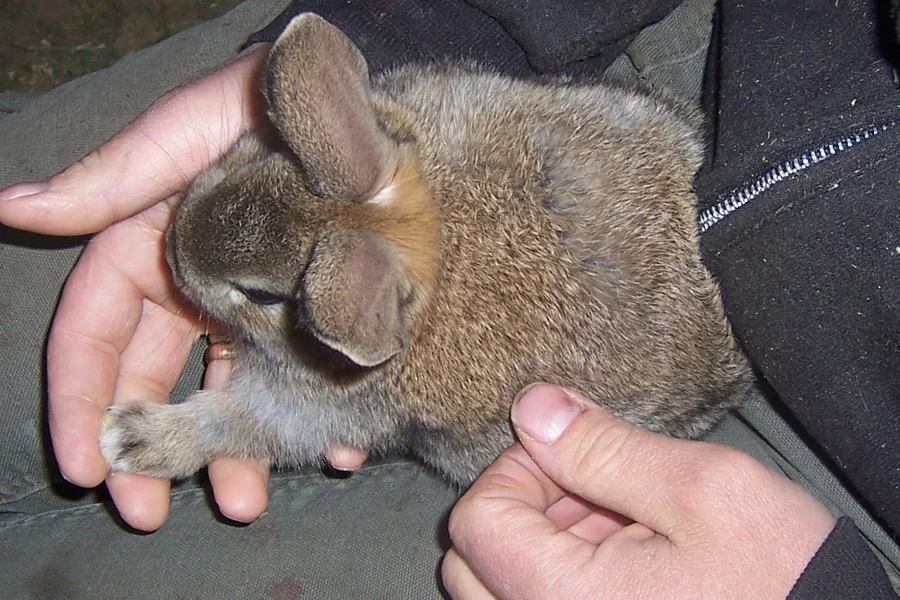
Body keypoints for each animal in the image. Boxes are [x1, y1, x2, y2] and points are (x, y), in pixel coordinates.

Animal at [99, 13, 752, 487]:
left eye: (261, 295)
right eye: (265, 152)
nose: (174, 248)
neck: (425, 230)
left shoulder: (327, 410)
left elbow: (239, 424)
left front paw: (129, 439)